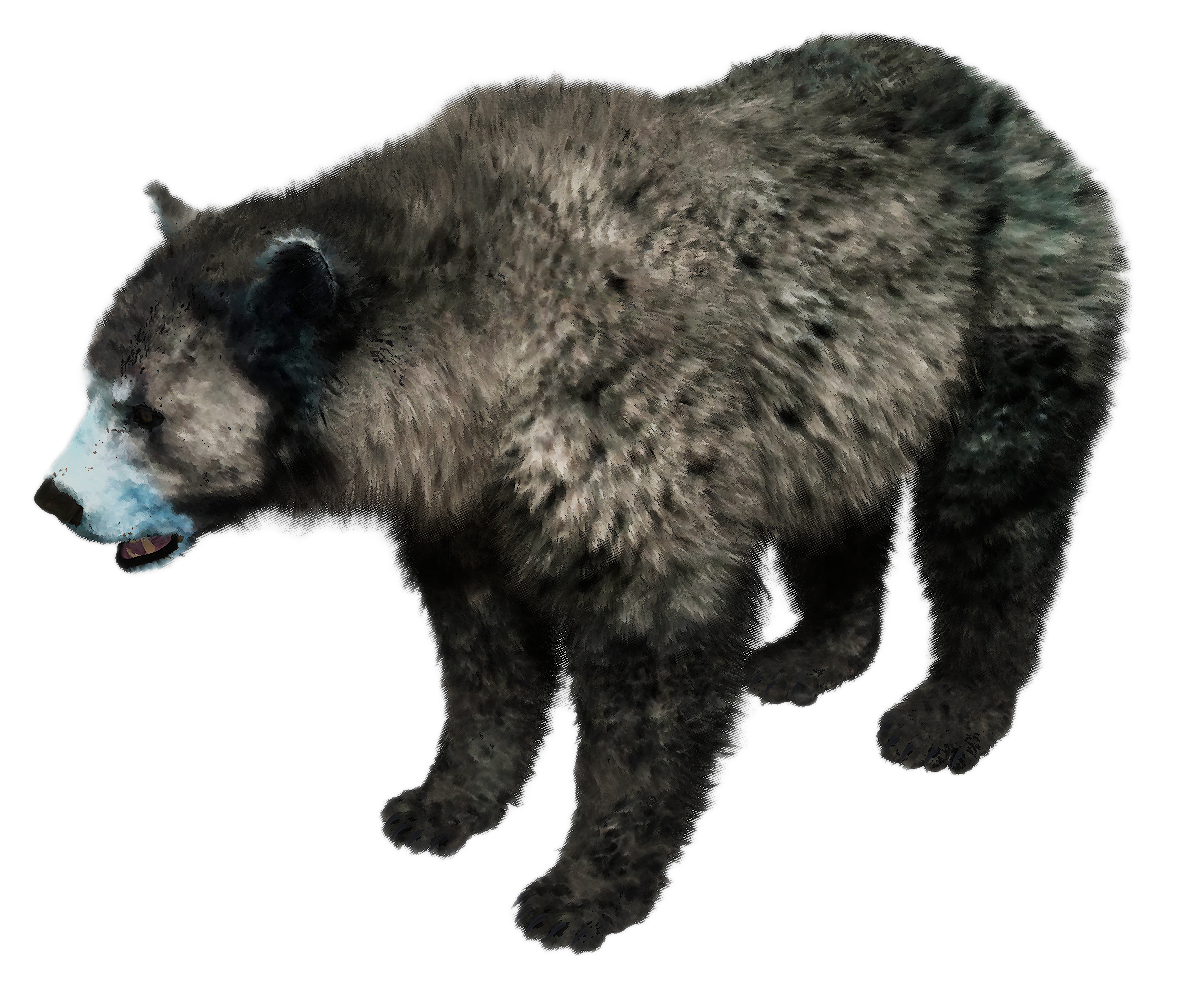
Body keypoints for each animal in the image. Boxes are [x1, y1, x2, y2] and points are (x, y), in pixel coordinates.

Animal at [31, 28, 1136, 956]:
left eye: (147, 412)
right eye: (86, 384)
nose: (56, 500)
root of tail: (1014, 106)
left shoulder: (623, 421)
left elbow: (652, 671)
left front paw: (582, 887)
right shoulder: (460, 501)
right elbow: (482, 653)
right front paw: (444, 799)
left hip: (1015, 301)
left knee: (994, 507)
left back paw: (950, 710)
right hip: (842, 376)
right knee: (838, 489)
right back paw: (816, 650)